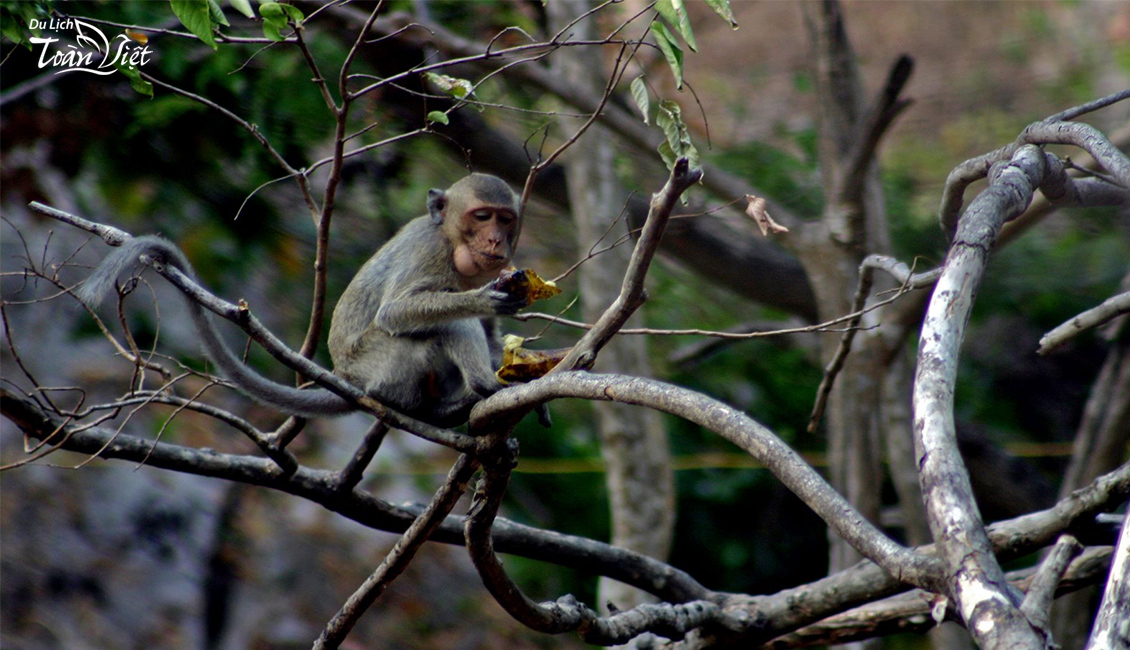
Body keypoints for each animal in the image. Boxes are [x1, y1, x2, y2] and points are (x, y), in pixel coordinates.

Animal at [79, 172, 537, 427]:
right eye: (482, 216)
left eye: (505, 219)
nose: (495, 240)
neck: (452, 242)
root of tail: (350, 379)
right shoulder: (430, 251)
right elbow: (397, 311)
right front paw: (486, 300)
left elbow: (492, 334)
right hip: (385, 366)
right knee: (445, 323)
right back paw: (481, 387)